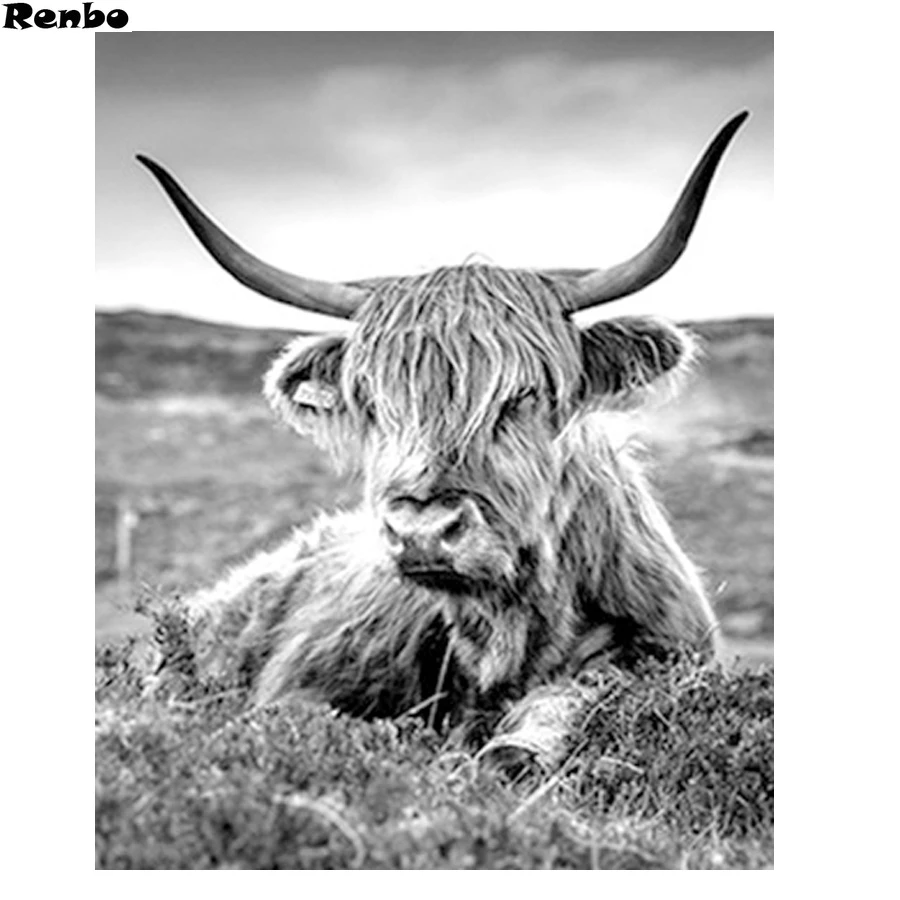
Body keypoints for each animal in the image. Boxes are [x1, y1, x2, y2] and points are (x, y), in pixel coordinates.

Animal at [136, 111, 749, 770]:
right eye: (372, 400)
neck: (506, 634)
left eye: (522, 395)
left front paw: (515, 749)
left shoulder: (661, 652)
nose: (423, 531)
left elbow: (571, 700)